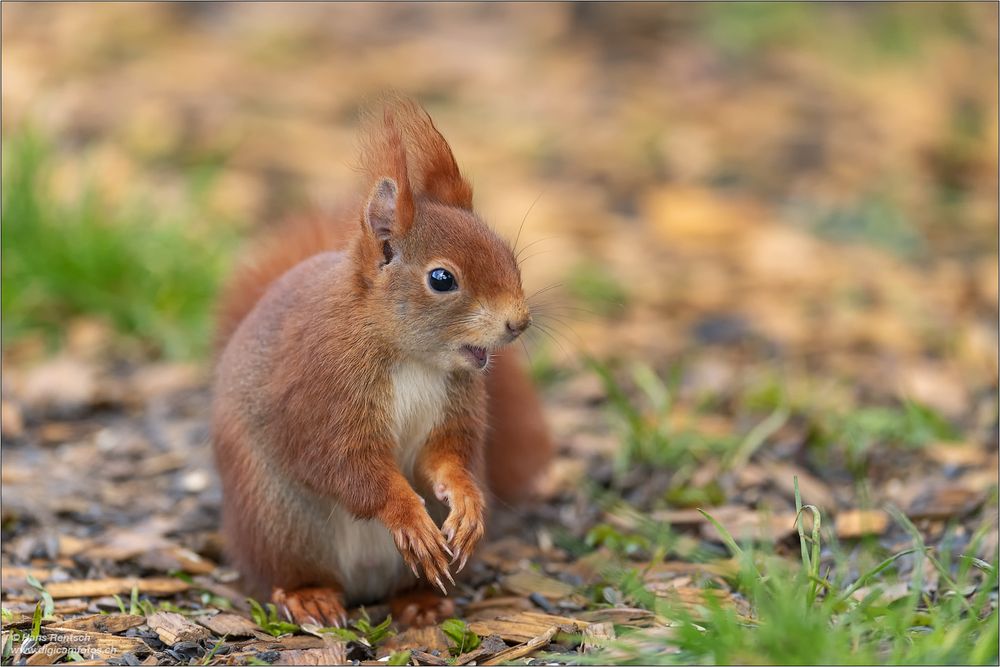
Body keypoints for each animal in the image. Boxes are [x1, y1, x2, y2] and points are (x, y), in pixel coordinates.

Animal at [213, 96, 556, 628]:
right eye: (441, 278)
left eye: (508, 255)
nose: (518, 323)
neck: (409, 357)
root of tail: (364, 585)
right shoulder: (323, 393)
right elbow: (350, 467)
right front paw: (407, 516)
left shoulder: (454, 401)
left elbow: (445, 456)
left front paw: (466, 499)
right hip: (280, 519)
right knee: (290, 571)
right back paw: (309, 596)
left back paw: (421, 601)